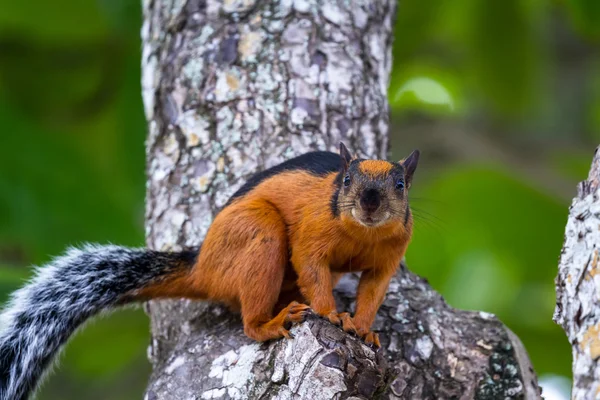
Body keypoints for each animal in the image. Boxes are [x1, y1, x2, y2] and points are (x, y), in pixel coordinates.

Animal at [0, 142, 418, 398]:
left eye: (400, 184)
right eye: (347, 180)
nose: (369, 203)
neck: (363, 233)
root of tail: (201, 266)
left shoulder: (389, 257)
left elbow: (373, 290)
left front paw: (362, 327)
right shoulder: (312, 234)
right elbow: (311, 267)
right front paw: (332, 314)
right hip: (257, 233)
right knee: (250, 321)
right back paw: (271, 321)